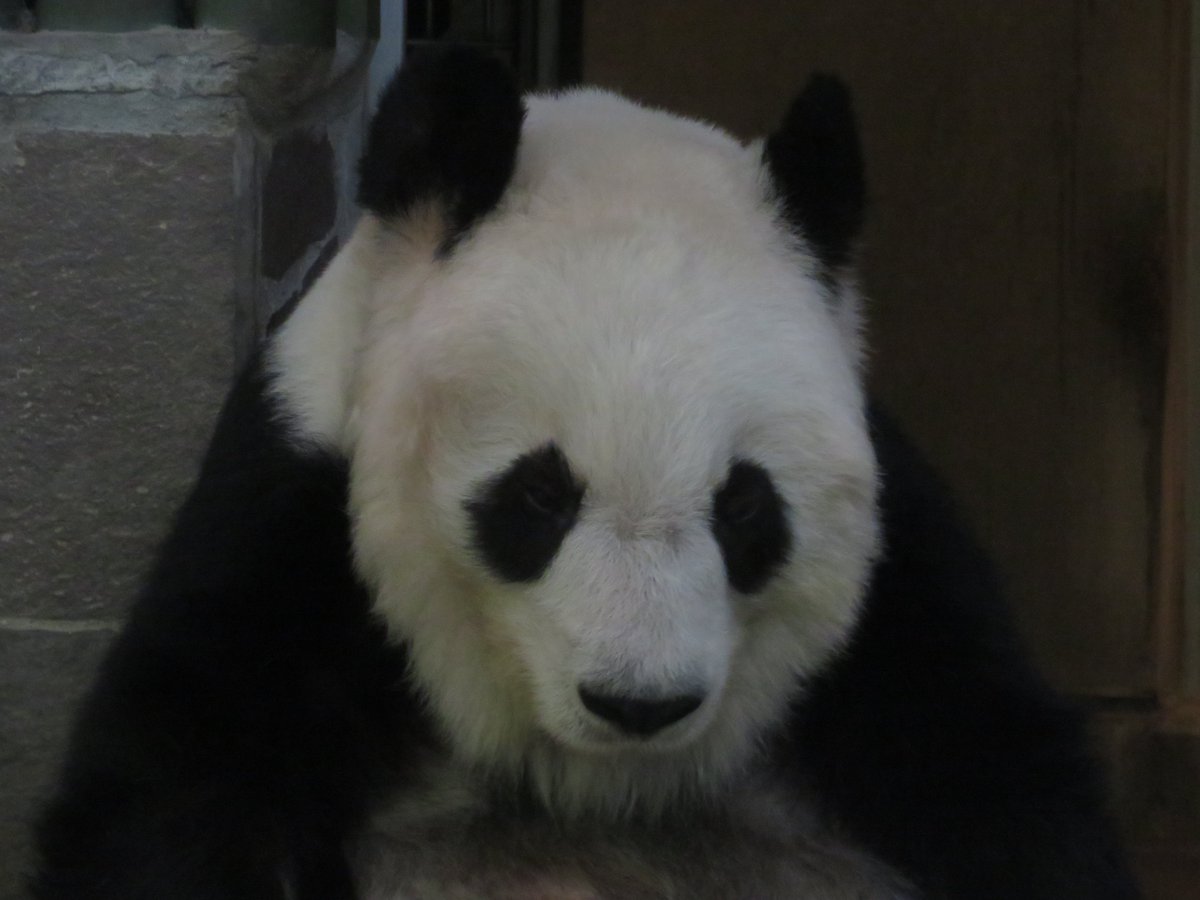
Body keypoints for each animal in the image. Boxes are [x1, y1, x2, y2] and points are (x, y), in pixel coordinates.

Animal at [33, 46, 1139, 900]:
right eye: (539, 496)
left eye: (745, 507)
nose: (638, 704)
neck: (594, 779)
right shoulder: (294, 509)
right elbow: (185, 775)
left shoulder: (905, 586)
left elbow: (996, 770)